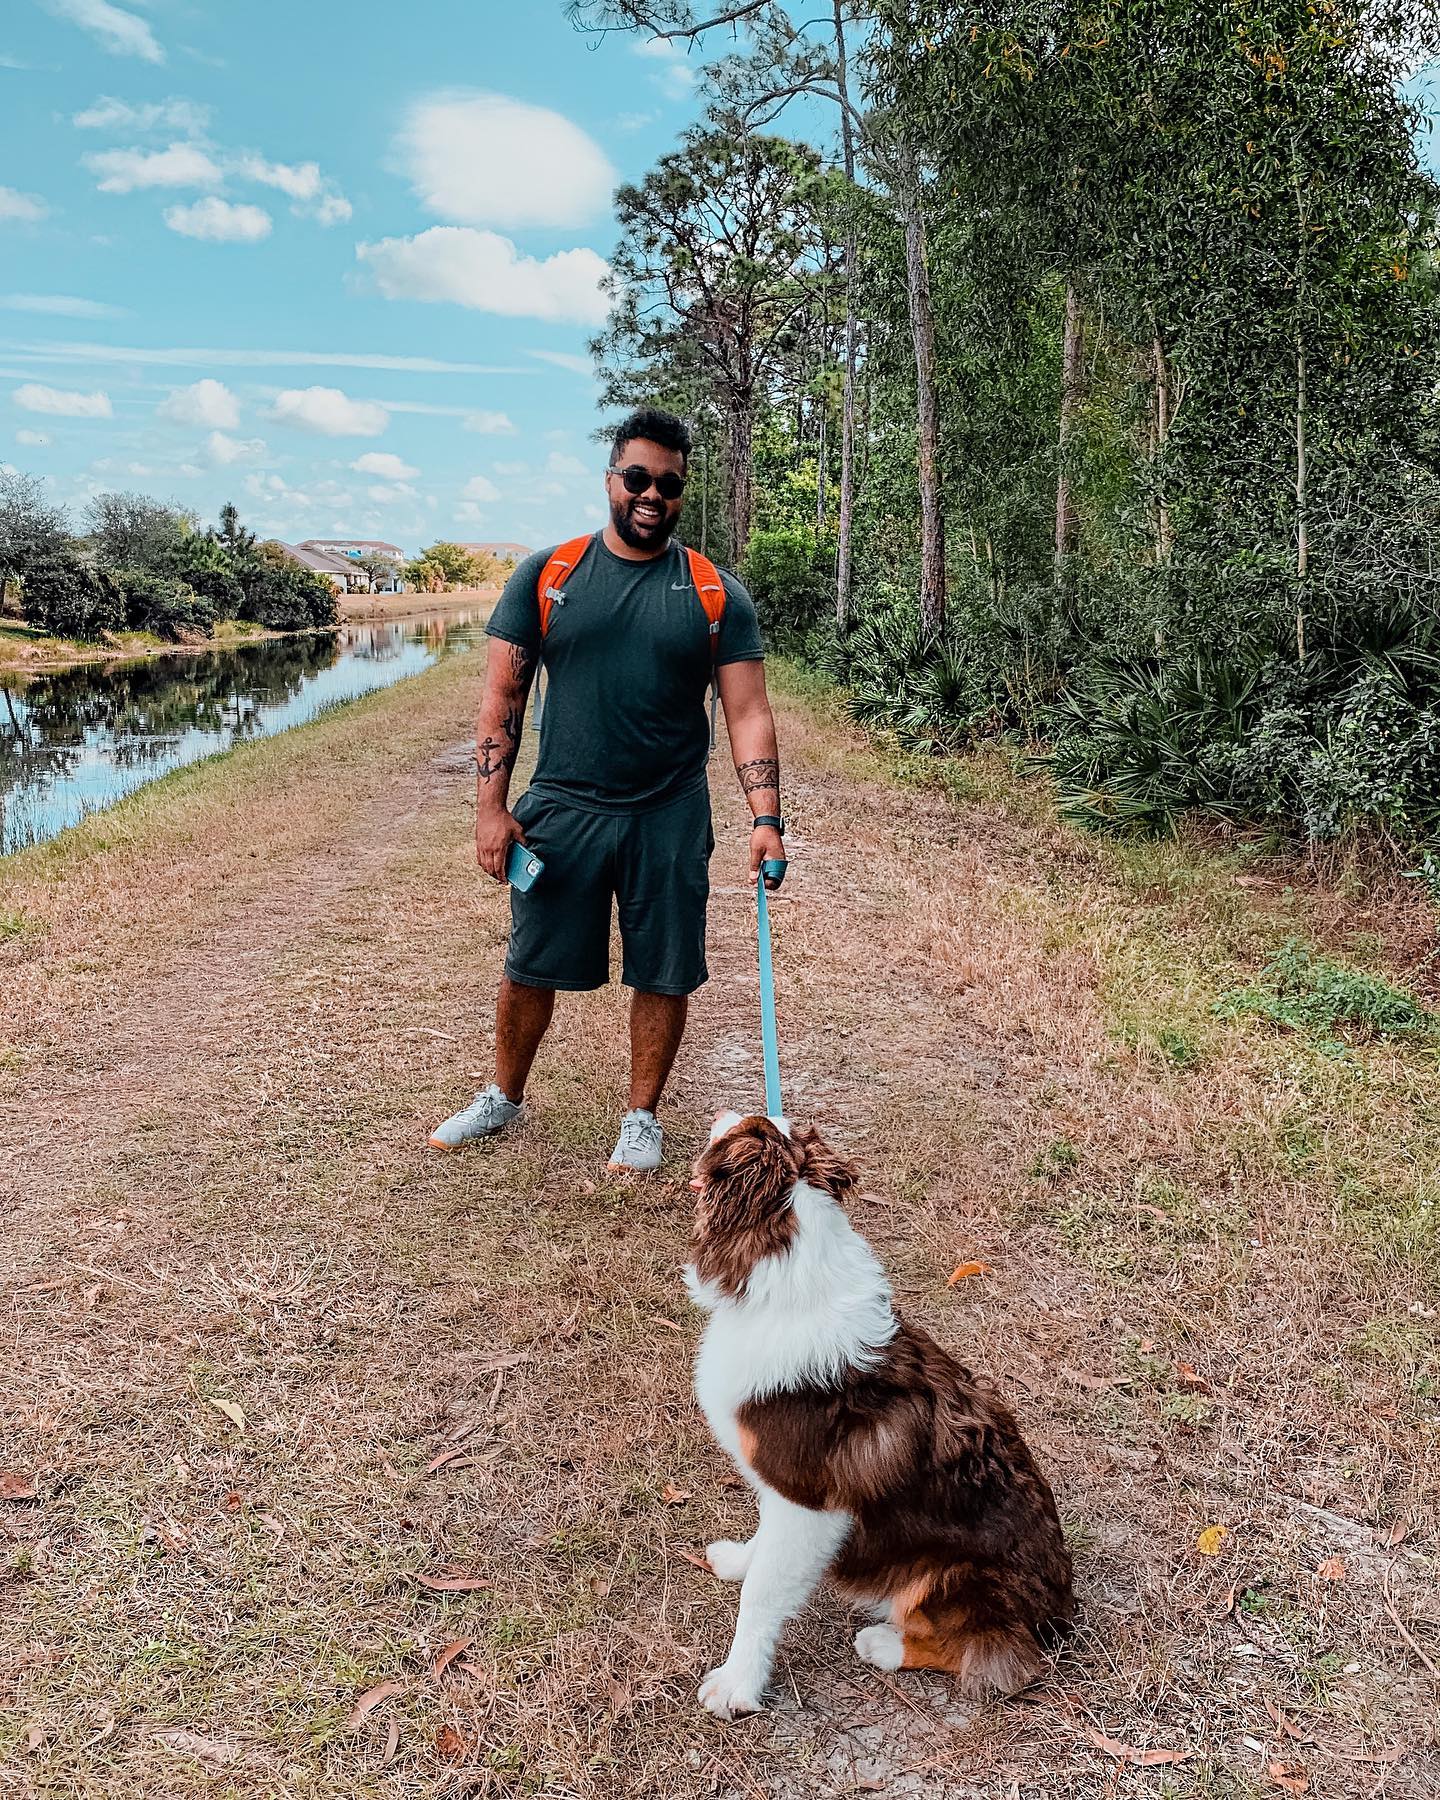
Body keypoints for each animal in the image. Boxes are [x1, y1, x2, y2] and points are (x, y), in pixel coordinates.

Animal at [685, 1112, 1074, 1720]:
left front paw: (737, 1684)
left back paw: (886, 1643)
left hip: (959, 1576)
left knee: (1004, 1656)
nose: (721, 1115)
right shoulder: (783, 1493)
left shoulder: (808, 1502)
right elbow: (765, 1555)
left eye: (746, 1127)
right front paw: (742, 1559)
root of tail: (1059, 1616)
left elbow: (763, 1594)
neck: (788, 1279)